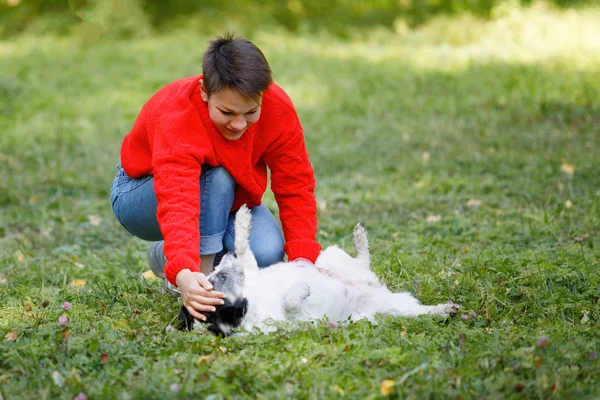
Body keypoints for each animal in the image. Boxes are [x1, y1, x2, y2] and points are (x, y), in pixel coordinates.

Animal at [178, 206, 460, 334]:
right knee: (422, 313)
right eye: (220, 276)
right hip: (387, 312)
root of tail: (376, 289)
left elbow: (243, 246)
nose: (223, 256)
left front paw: (242, 219)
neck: (253, 295)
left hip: (332, 257)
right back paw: (445, 310)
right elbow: (291, 302)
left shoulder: (252, 267)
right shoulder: (295, 321)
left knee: (363, 261)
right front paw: (302, 288)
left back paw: (359, 236)